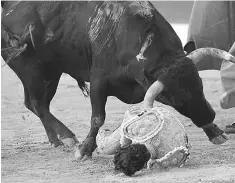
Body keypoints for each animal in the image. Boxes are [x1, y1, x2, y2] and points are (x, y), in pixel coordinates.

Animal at [1, 1, 228, 159]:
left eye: (200, 87)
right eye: (177, 99)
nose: (209, 116)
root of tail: (8, 6)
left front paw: (215, 132)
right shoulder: (98, 82)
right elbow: (97, 118)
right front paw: (84, 151)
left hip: (49, 73)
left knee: (34, 104)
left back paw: (56, 140)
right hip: (33, 70)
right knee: (38, 104)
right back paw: (66, 138)